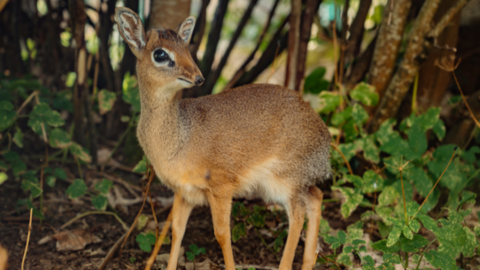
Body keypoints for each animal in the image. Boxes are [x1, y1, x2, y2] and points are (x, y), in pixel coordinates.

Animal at [116, 7, 332, 268]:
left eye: (187, 48)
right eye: (160, 54)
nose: (198, 77)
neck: (181, 137)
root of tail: (324, 137)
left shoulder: (221, 188)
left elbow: (222, 234)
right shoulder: (184, 192)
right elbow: (177, 231)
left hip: (285, 182)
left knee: (298, 215)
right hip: (287, 184)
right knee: (316, 197)